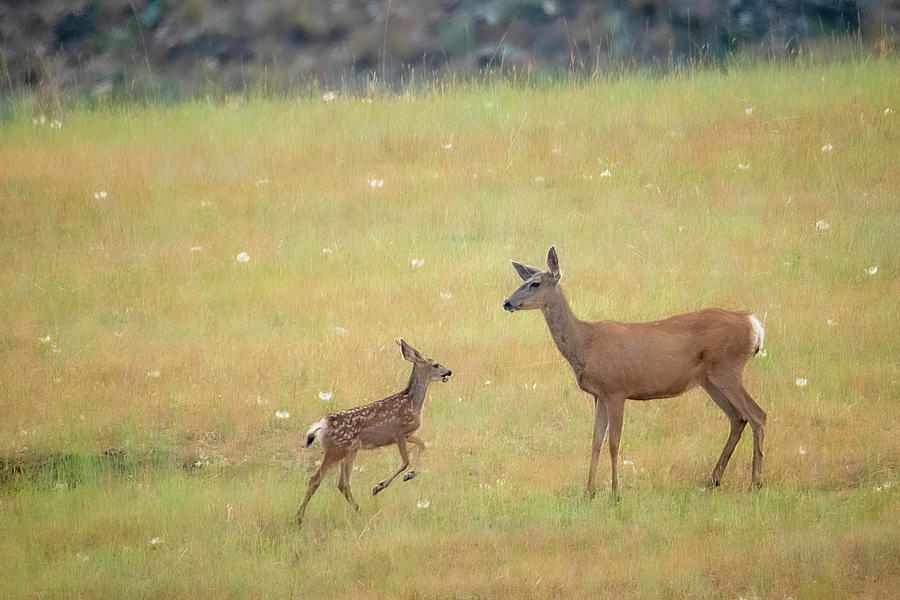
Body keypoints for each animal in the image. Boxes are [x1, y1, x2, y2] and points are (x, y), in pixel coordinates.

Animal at [296, 340, 450, 528]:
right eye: (435, 364)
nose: (448, 372)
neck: (412, 402)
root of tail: (321, 426)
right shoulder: (399, 432)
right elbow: (405, 461)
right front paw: (380, 485)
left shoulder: (408, 434)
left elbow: (422, 444)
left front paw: (410, 475)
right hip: (336, 450)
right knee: (315, 479)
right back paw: (299, 518)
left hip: (350, 451)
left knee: (342, 484)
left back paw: (359, 511)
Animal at [502, 246, 764, 494]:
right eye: (523, 280)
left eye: (535, 283)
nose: (507, 302)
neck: (585, 343)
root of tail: (753, 325)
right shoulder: (600, 395)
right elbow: (596, 440)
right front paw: (589, 492)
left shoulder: (617, 390)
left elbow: (614, 442)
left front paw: (615, 493)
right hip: (709, 379)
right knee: (738, 418)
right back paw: (713, 480)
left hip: (727, 369)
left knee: (757, 415)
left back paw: (755, 483)